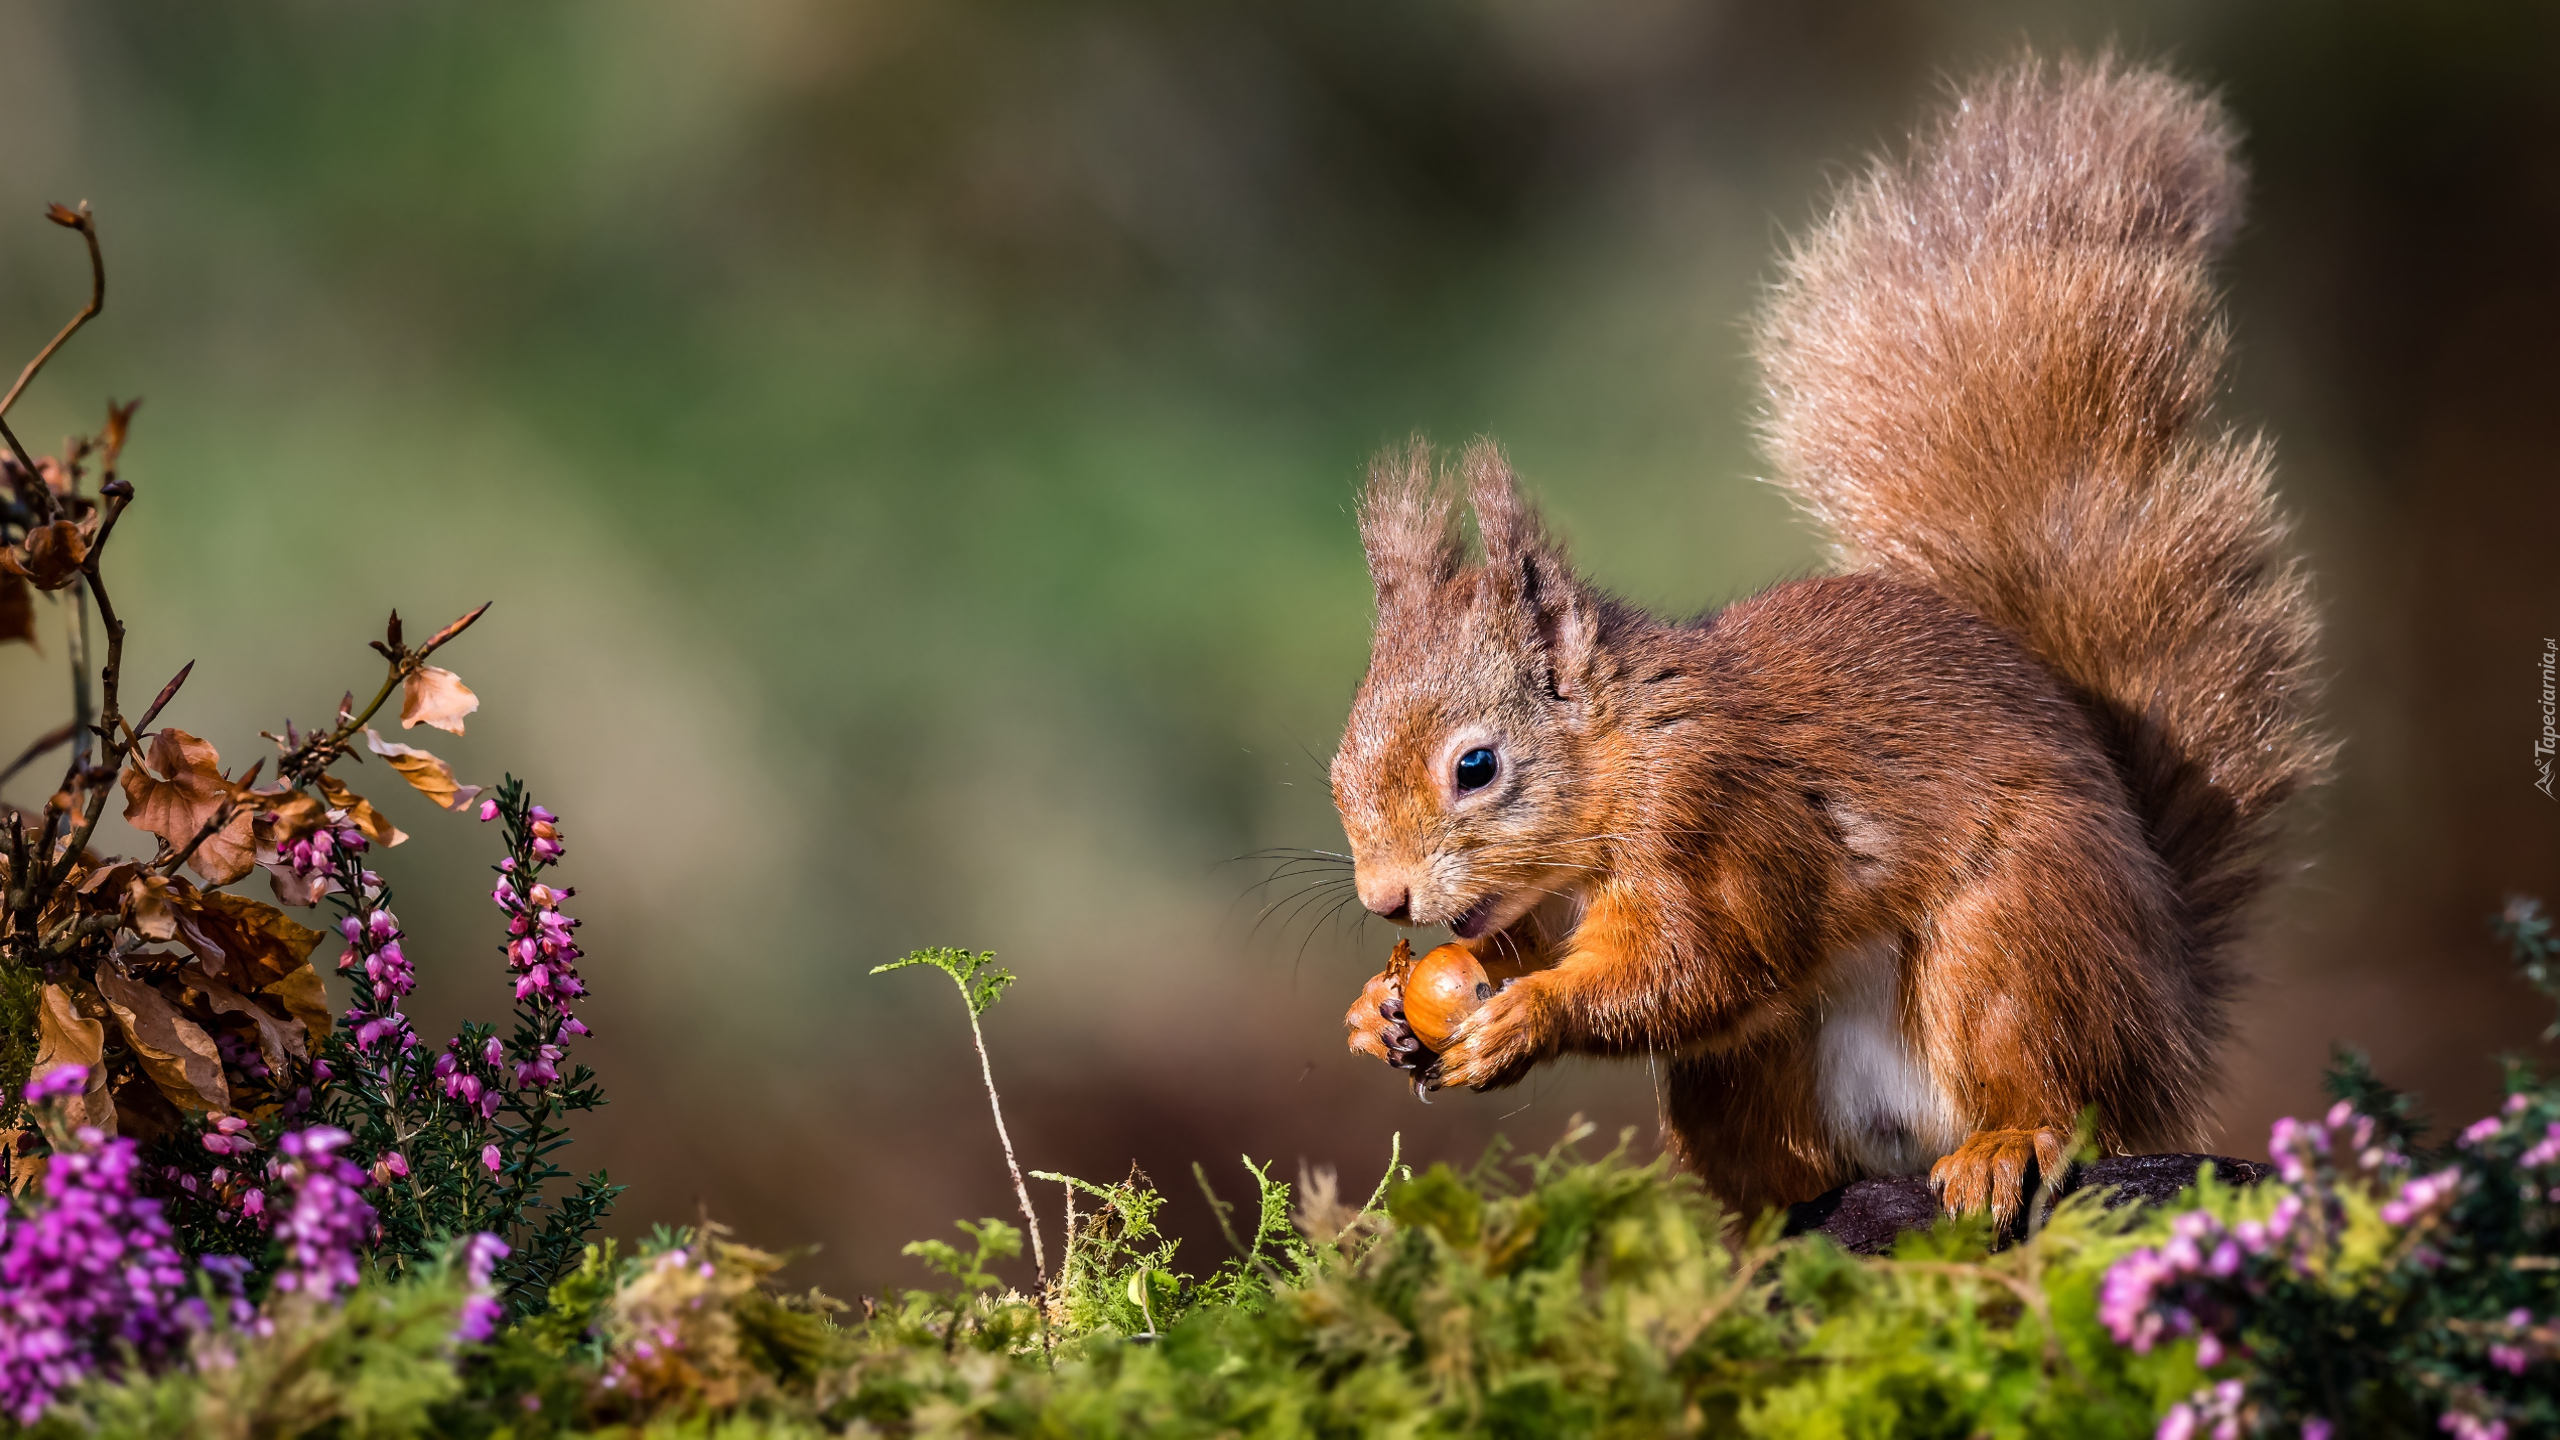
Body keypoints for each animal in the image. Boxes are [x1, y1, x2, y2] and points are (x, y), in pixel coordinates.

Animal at [1341, 58, 2324, 1219]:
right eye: (1338, 765)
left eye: (1476, 767)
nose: (1385, 898)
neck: (1624, 755)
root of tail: (2163, 1030)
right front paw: (1376, 1015)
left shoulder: (1722, 818)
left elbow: (1701, 964)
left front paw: (1534, 1015)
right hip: (1756, 1079)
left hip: (2016, 946)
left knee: (2050, 1088)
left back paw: (2006, 1143)